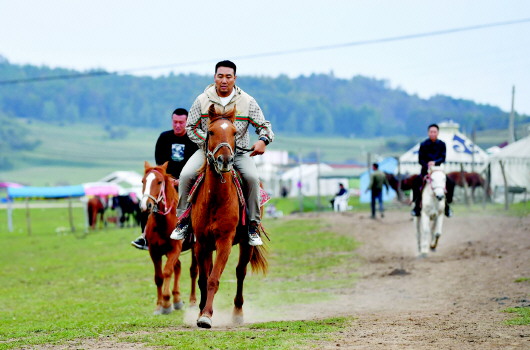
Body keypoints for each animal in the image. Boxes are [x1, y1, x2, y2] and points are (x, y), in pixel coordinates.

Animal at [140, 161, 198, 314]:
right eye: (143, 181)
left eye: (159, 182)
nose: (146, 205)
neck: (163, 223)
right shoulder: (154, 252)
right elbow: (159, 277)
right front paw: (159, 305)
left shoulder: (174, 249)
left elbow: (167, 272)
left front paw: (166, 303)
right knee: (178, 267)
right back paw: (177, 299)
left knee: (193, 271)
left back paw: (192, 301)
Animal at [189, 104, 266, 328]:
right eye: (211, 132)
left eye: (233, 133)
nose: (225, 160)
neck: (215, 199)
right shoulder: (202, 243)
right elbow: (203, 279)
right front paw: (201, 312)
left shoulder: (224, 241)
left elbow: (214, 279)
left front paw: (206, 316)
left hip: (246, 244)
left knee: (240, 272)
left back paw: (238, 313)